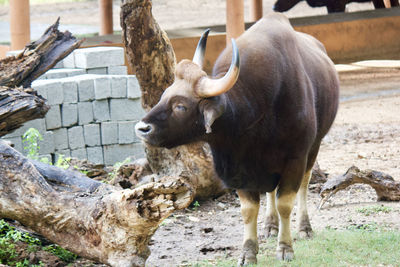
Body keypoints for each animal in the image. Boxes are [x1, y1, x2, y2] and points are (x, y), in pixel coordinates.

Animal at [136, 12, 340, 264]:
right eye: (164, 96)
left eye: (181, 106)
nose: (142, 128)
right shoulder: (240, 167)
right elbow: (248, 210)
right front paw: (248, 252)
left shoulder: (295, 158)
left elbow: (285, 203)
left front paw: (285, 248)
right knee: (270, 190)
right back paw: (270, 225)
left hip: (314, 147)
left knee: (304, 183)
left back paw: (304, 227)